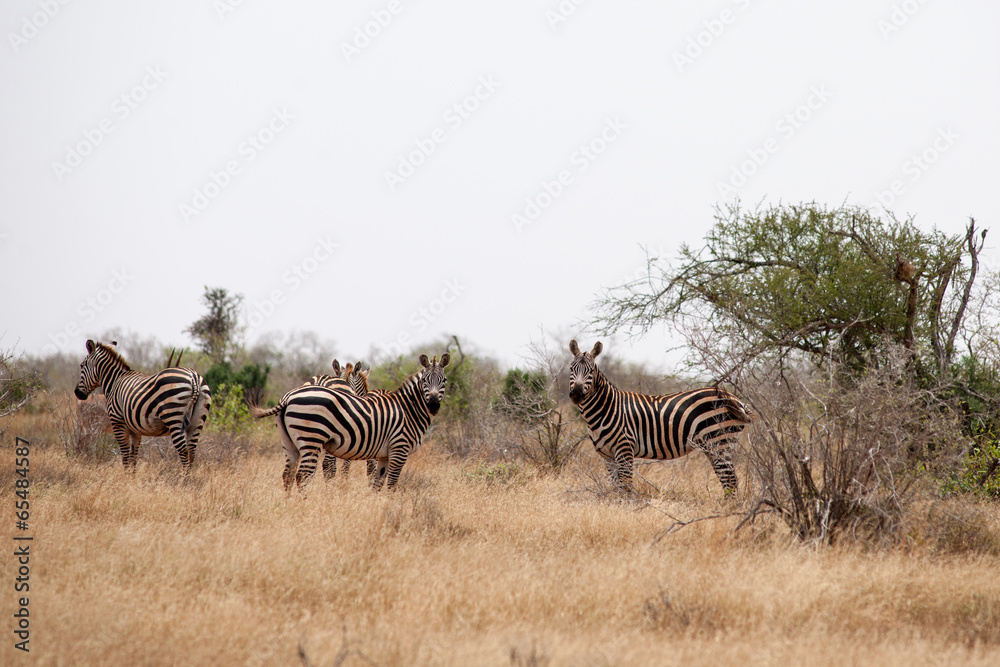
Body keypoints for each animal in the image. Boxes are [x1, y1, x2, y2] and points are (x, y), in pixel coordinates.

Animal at [74, 340, 212, 470]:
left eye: (82, 365)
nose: (77, 393)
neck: (115, 381)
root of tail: (194, 377)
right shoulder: (136, 431)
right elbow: (133, 458)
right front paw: (132, 477)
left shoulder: (118, 423)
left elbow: (125, 457)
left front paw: (126, 477)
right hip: (197, 420)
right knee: (192, 451)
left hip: (173, 417)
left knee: (184, 450)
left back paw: (183, 478)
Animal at [249, 353, 449, 492]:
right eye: (425, 380)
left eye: (444, 380)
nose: (433, 405)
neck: (407, 409)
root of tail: (288, 397)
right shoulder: (399, 449)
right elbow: (391, 484)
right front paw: (390, 509)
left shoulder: (384, 454)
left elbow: (377, 483)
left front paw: (375, 507)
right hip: (312, 439)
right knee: (304, 475)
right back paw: (303, 507)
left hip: (289, 443)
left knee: (288, 475)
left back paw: (288, 505)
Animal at [567, 340, 753, 494]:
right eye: (571, 369)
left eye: (591, 371)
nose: (576, 394)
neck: (607, 409)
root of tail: (734, 398)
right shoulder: (606, 455)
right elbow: (616, 486)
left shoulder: (625, 448)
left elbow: (626, 486)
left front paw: (626, 510)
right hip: (712, 445)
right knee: (727, 478)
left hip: (719, 441)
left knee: (730, 479)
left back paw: (730, 510)